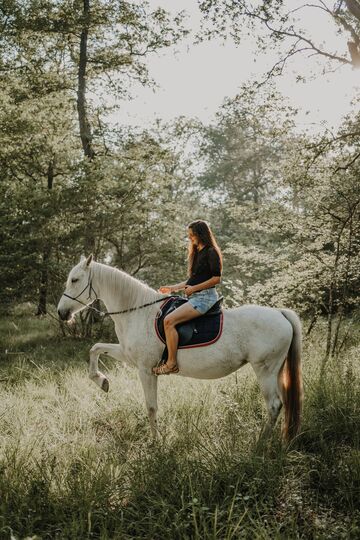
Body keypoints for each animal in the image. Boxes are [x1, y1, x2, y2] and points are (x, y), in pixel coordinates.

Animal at [57, 256, 302, 438]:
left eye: (75, 280)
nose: (61, 312)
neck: (138, 310)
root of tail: (280, 313)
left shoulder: (145, 370)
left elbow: (151, 407)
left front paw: (156, 443)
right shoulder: (127, 356)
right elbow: (95, 348)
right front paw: (102, 381)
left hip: (265, 370)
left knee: (274, 405)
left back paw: (261, 443)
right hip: (277, 371)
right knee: (285, 402)